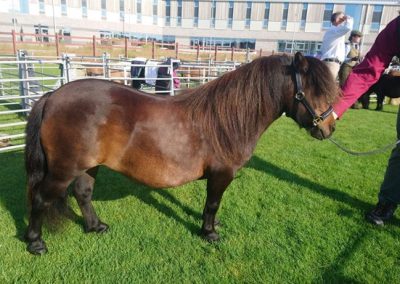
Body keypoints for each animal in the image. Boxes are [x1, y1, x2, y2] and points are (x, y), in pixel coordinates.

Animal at [24, 51, 338, 255]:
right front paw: (210, 232)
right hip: (63, 169)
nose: (330, 127)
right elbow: (212, 204)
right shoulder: (221, 174)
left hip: (87, 165)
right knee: (40, 199)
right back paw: (36, 243)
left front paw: (211, 225)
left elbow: (212, 205)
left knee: (83, 193)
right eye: (314, 91)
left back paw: (95, 226)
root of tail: (53, 97)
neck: (227, 118)